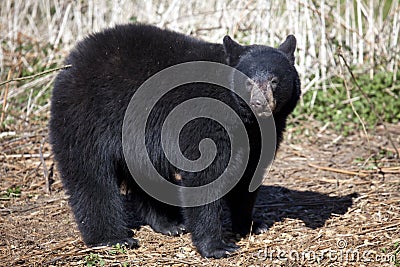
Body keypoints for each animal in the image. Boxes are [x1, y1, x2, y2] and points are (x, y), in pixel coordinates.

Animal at [48, 23, 300, 260]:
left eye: (274, 81)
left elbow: (248, 176)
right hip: (86, 116)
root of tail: (72, 61)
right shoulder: (204, 120)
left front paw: (250, 224)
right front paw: (216, 246)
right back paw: (112, 238)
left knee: (147, 177)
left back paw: (169, 224)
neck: (244, 117)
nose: (259, 103)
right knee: (90, 176)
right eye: (248, 82)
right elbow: (204, 176)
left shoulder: (258, 135)